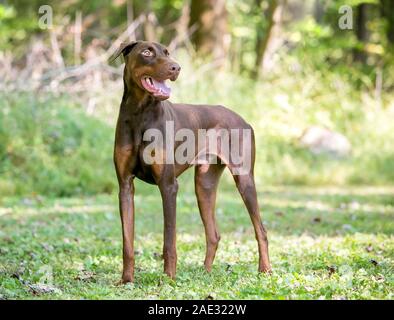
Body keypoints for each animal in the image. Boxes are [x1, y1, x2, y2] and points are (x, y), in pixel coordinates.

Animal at [112, 41, 270, 284]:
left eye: (167, 52)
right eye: (147, 52)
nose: (176, 68)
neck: (140, 113)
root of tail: (243, 120)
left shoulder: (168, 185)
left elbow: (169, 240)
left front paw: (168, 278)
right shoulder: (125, 186)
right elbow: (127, 243)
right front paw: (127, 280)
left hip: (244, 179)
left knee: (260, 229)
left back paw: (265, 270)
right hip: (204, 184)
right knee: (213, 234)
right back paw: (205, 273)